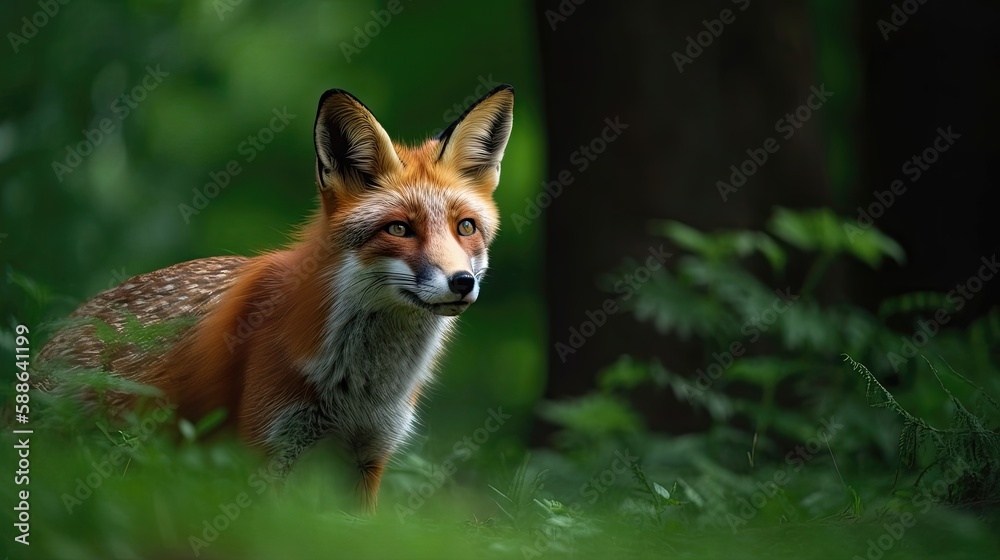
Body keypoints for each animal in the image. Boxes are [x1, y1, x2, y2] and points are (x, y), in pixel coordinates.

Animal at [38, 84, 515, 512]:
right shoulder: (268, 449)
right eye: (399, 229)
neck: (361, 387)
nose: (461, 282)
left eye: (465, 227)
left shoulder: (370, 454)